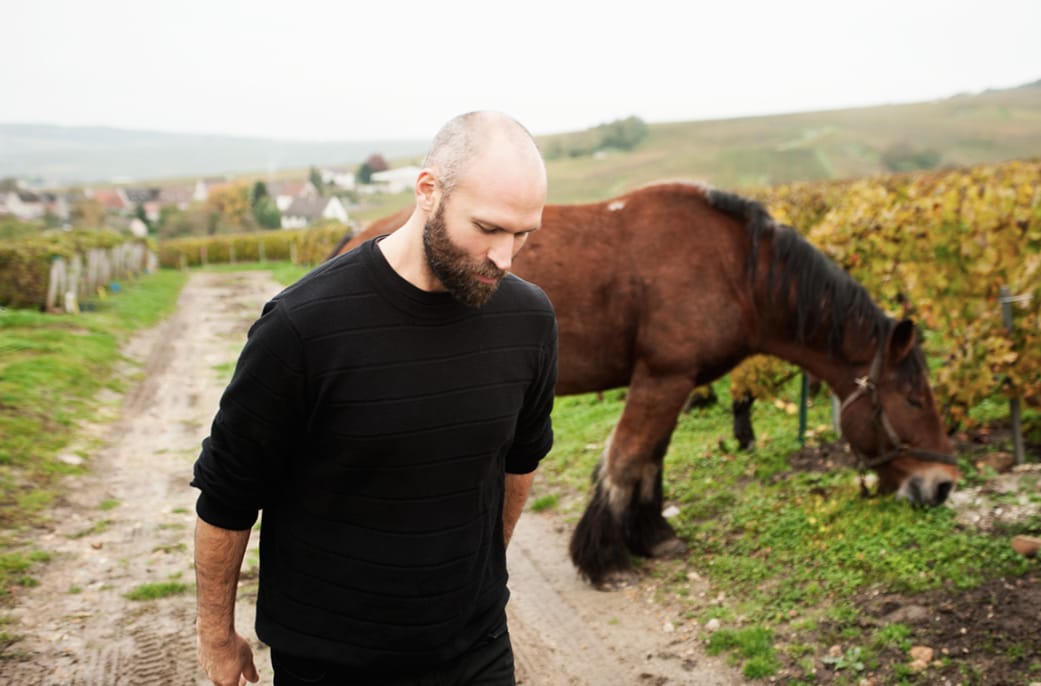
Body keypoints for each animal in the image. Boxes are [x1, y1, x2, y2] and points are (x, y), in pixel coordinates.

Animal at [333, 182, 957, 587]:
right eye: (912, 399)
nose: (943, 485)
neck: (735, 267)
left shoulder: (675, 383)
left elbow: (652, 458)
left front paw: (650, 535)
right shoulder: (662, 378)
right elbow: (628, 458)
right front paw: (605, 557)